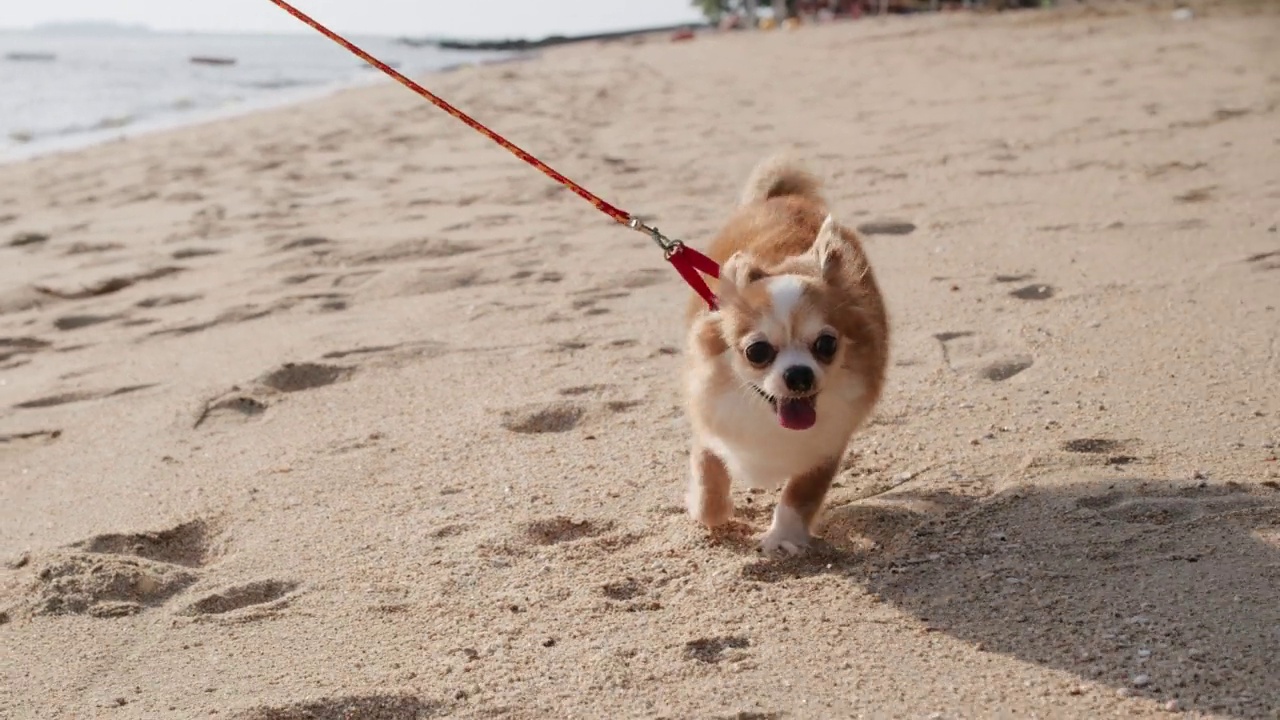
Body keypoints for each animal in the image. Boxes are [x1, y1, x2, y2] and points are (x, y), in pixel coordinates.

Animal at [680, 155, 890, 548]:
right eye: (757, 352)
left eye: (826, 344)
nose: (799, 375)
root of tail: (780, 198)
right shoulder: (710, 423)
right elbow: (708, 472)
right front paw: (711, 512)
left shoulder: (827, 446)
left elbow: (801, 494)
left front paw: (782, 539)